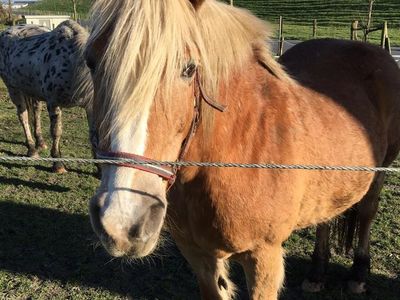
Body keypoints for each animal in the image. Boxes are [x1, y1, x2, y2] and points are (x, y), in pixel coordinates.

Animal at [0, 19, 93, 172]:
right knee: (23, 115)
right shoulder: (53, 103)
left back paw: (40, 142)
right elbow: (56, 132)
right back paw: (32, 148)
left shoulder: (90, 106)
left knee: (36, 112)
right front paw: (58, 164)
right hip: (13, 88)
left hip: (32, 91)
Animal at [85, 1, 400, 298]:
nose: (123, 221)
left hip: (379, 173)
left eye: (189, 69)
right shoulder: (199, 256)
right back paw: (316, 274)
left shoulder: (264, 258)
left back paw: (358, 275)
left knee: (367, 212)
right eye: (91, 62)